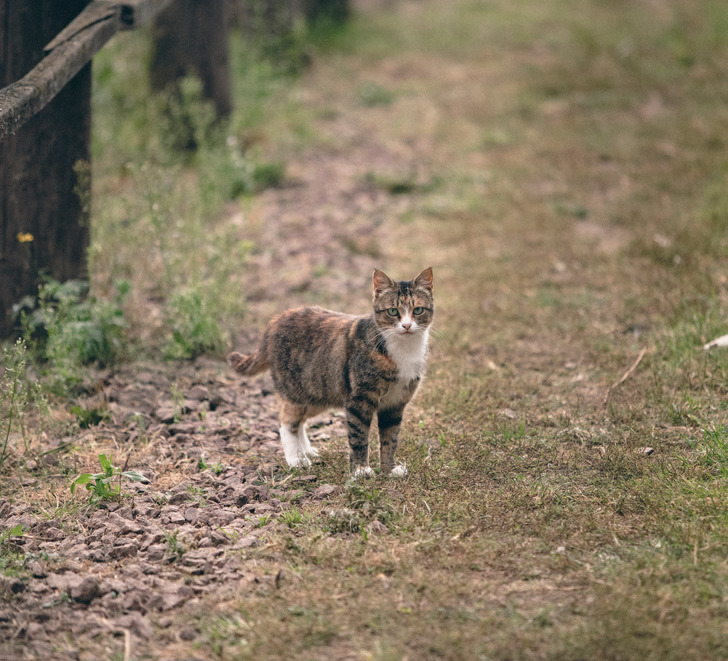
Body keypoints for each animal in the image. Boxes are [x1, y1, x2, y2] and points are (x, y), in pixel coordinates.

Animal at [227, 267, 434, 476]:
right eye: (393, 311)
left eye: (418, 310)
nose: (406, 326)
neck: (403, 349)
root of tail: (273, 323)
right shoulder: (359, 400)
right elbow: (359, 437)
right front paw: (361, 470)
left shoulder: (395, 403)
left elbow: (390, 439)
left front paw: (389, 470)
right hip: (294, 392)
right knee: (287, 423)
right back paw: (296, 459)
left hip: (316, 392)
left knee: (300, 422)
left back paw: (306, 452)